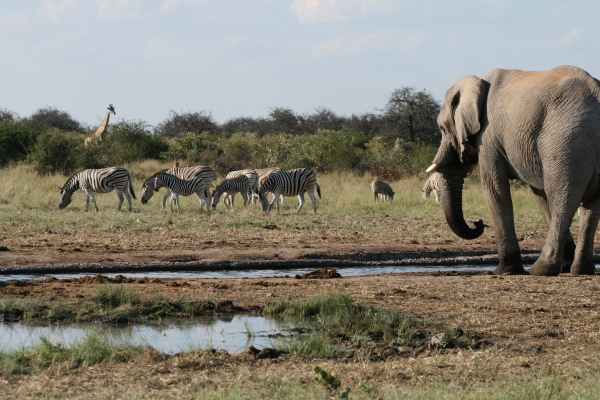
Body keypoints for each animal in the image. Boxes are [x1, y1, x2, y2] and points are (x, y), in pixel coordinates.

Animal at [426, 66, 600, 278]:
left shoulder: (488, 135)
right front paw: (565, 266)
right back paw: (581, 270)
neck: (478, 82)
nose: (478, 222)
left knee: (562, 201)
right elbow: (540, 195)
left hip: (565, 142)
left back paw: (540, 270)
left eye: (442, 129)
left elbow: (494, 187)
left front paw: (505, 270)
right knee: (590, 207)